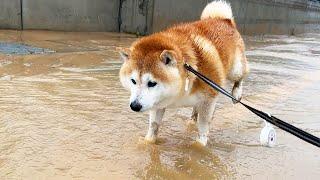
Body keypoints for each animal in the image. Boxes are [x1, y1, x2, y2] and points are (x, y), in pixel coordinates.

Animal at [119, 0, 249, 146]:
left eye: (151, 83)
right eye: (133, 81)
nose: (134, 106)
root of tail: (222, 19)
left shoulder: (209, 99)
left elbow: (203, 128)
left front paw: (199, 146)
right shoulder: (157, 102)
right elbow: (154, 126)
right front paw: (148, 142)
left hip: (235, 70)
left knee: (241, 76)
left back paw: (236, 94)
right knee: (195, 110)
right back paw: (192, 120)